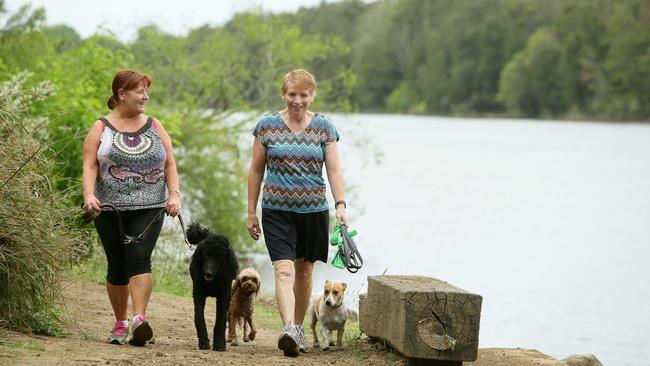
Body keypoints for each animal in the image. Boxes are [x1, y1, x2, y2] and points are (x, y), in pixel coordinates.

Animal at [186, 222, 239, 350]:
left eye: (219, 257)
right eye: (206, 255)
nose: (208, 273)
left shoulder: (224, 296)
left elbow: (220, 319)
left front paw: (219, 343)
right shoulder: (198, 292)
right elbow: (199, 316)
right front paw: (204, 342)